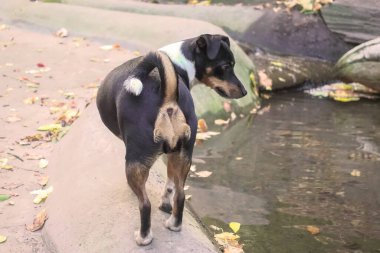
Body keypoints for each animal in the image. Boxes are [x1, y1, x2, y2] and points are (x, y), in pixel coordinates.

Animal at [96, 33, 248, 245]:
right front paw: (166, 204)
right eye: (226, 66)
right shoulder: (173, 153)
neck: (179, 64)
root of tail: (168, 99)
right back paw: (174, 224)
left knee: (145, 205)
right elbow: (170, 186)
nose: (245, 92)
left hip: (135, 162)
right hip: (184, 155)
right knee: (181, 195)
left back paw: (144, 237)